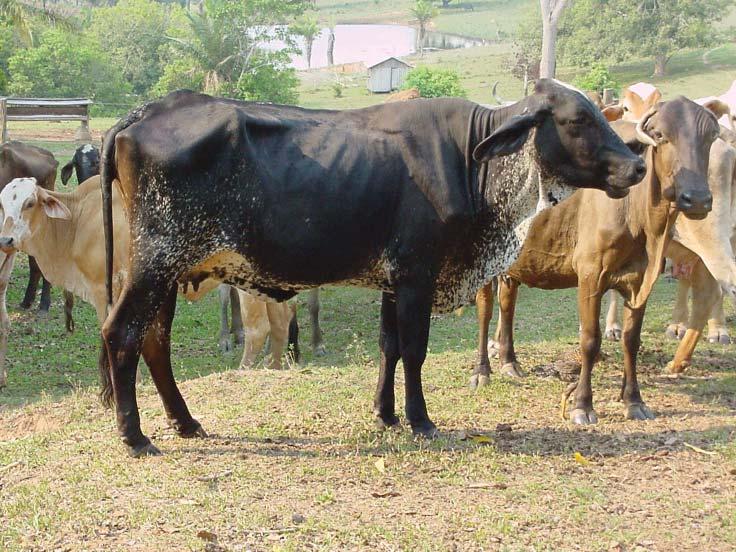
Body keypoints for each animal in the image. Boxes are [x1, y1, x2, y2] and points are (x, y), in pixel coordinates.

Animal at [99, 78, 644, 458]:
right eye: (577, 120)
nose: (637, 165)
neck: (471, 161)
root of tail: (147, 111)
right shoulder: (419, 275)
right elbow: (415, 351)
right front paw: (420, 420)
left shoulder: (393, 280)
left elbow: (389, 347)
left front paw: (384, 414)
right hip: (156, 262)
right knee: (121, 332)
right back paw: (135, 435)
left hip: (168, 271)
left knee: (154, 340)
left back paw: (185, 422)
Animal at [472, 98, 720, 422]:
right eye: (661, 135)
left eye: (710, 137)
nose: (698, 199)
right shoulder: (590, 274)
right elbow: (590, 340)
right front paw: (582, 404)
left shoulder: (640, 280)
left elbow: (631, 339)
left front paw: (633, 400)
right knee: (486, 309)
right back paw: (482, 370)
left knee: (507, 304)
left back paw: (509, 361)